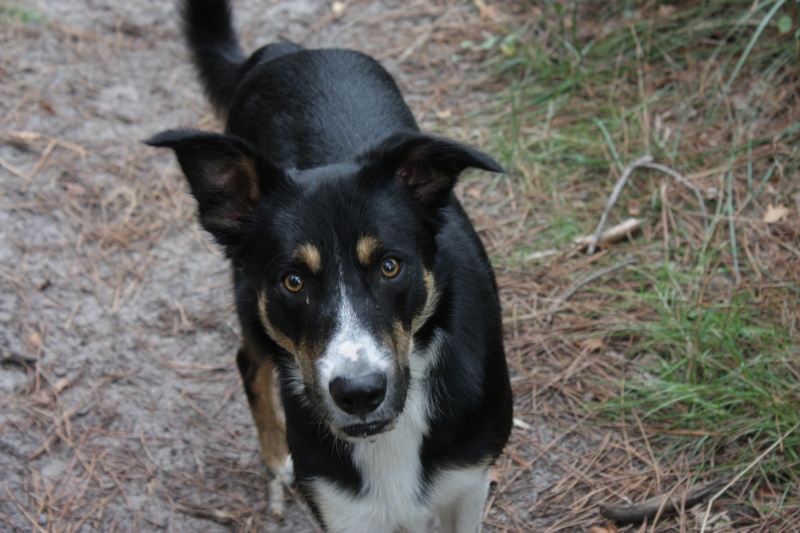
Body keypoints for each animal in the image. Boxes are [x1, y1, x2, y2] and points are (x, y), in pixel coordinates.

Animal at [148, 1, 512, 532]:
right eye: (293, 280)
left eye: (389, 266)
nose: (359, 393)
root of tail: (285, 51)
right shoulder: (339, 507)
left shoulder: (468, 484)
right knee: (248, 362)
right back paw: (276, 460)